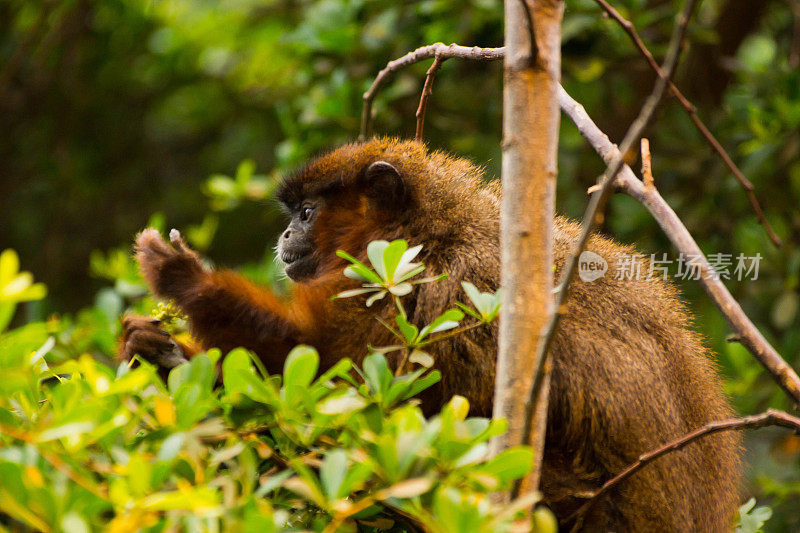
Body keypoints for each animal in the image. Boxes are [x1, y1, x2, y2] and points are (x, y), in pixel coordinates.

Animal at [120, 139, 744, 528]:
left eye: (306, 213)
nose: (285, 236)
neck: (428, 232)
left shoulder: (437, 290)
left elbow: (342, 381)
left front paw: (189, 281)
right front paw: (159, 351)